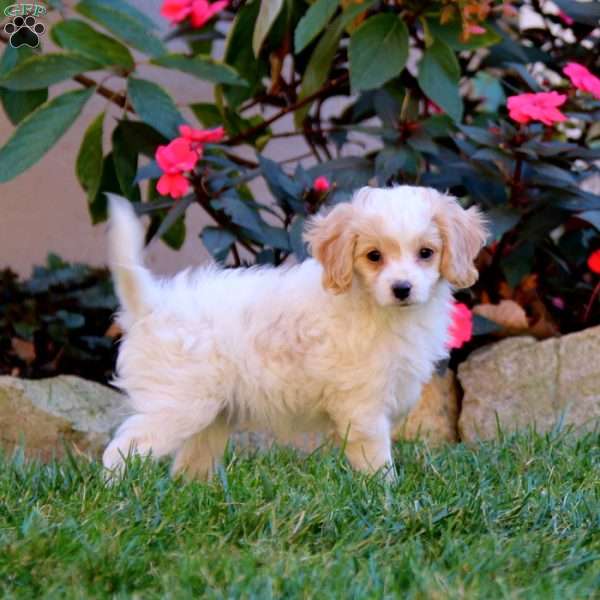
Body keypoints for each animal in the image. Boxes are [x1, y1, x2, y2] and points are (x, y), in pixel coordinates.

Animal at [103, 185, 488, 480]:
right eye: (374, 256)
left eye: (426, 253)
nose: (402, 288)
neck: (377, 308)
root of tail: (154, 304)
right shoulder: (363, 410)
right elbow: (377, 463)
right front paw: (386, 497)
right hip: (177, 407)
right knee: (120, 451)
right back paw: (119, 498)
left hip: (211, 417)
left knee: (188, 469)